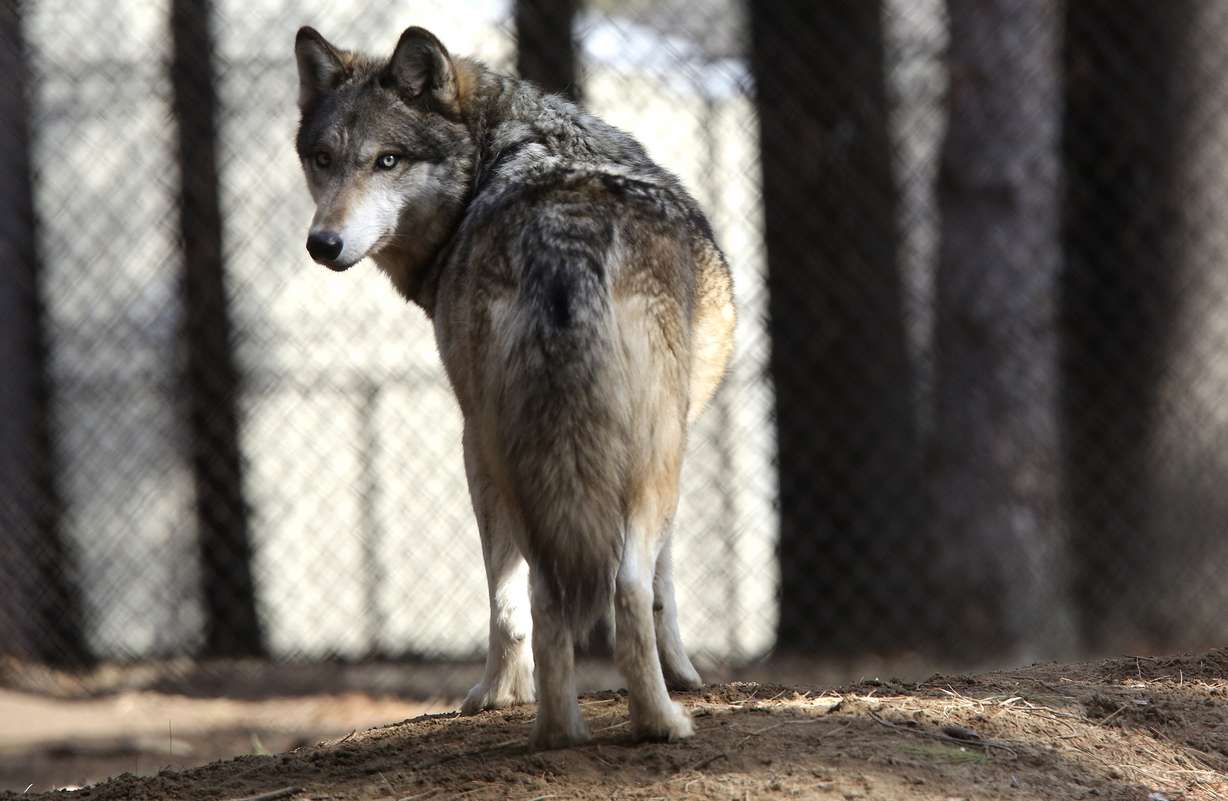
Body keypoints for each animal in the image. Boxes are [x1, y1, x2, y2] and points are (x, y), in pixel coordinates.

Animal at [294, 24, 735, 749]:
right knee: (621, 584)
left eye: (387, 161)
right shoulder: (679, 443)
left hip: (515, 451)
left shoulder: (480, 436)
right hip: (636, 456)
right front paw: (686, 675)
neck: (500, 154)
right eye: (324, 160)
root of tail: (563, 238)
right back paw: (658, 721)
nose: (322, 243)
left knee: (540, 592)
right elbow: (664, 586)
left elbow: (513, 594)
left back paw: (555, 727)